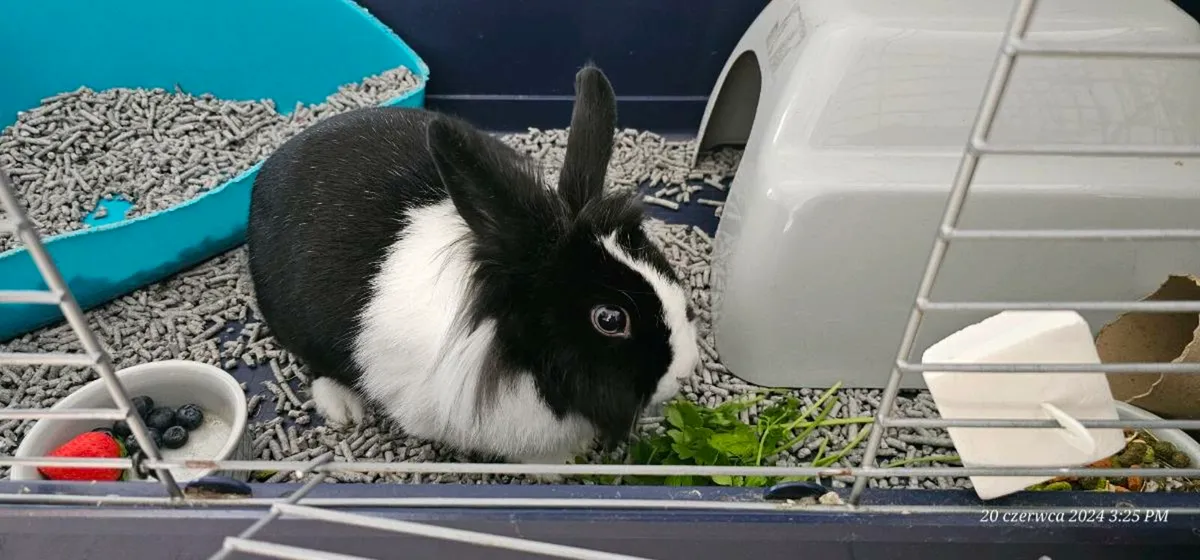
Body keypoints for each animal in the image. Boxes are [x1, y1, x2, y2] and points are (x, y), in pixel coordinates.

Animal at [245, 63, 701, 465]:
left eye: (662, 266)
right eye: (610, 319)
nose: (683, 372)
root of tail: (273, 165)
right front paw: (558, 466)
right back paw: (343, 408)